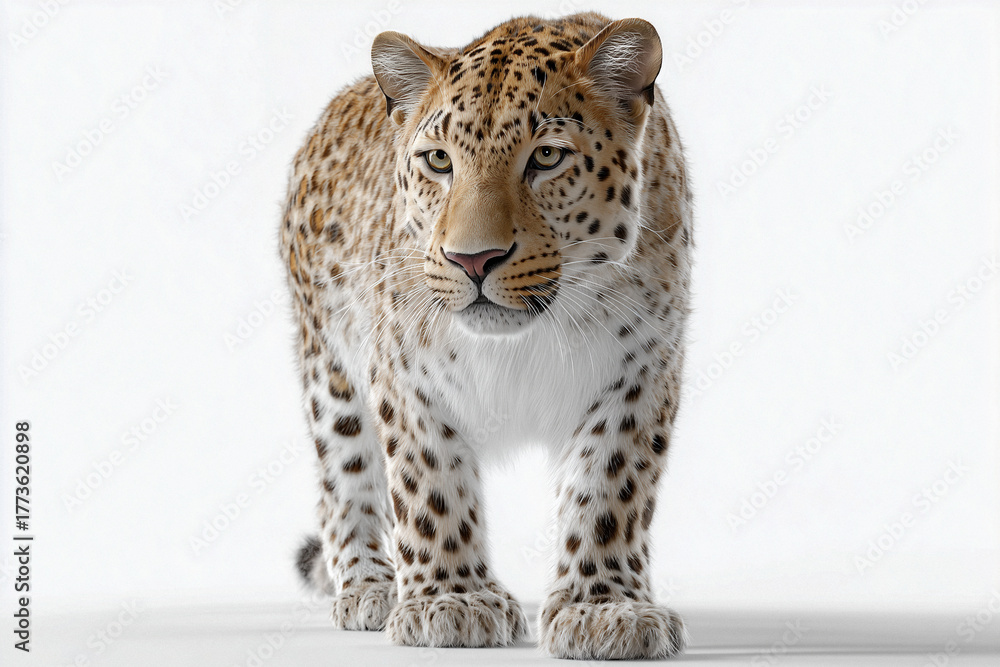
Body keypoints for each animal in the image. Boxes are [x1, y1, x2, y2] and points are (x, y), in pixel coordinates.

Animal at [280, 12, 692, 660]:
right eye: (438, 161)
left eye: (546, 157)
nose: (473, 260)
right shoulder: (403, 374)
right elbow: (430, 484)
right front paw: (450, 599)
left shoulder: (642, 370)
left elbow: (608, 487)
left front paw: (603, 608)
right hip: (329, 370)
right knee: (344, 482)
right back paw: (370, 586)